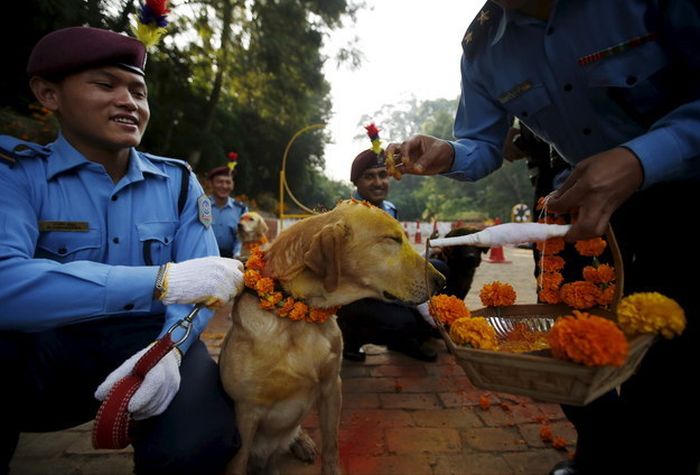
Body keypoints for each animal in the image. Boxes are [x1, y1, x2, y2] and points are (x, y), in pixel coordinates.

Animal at [221, 202, 446, 475]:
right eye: (392, 239)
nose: (442, 282)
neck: (299, 315)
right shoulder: (246, 411)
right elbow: (237, 464)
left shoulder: (331, 387)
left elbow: (331, 445)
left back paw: (303, 443)